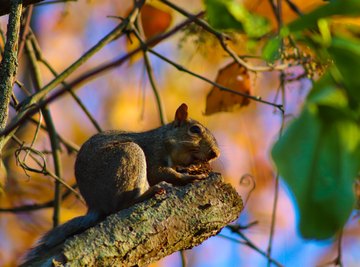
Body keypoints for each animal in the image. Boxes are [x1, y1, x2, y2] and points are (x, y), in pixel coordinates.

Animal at [22, 103, 221, 264]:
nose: (216, 153)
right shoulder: (153, 154)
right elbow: (160, 173)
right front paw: (188, 177)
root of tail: (95, 204)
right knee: (122, 204)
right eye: (195, 130)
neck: (165, 140)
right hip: (129, 154)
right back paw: (149, 193)